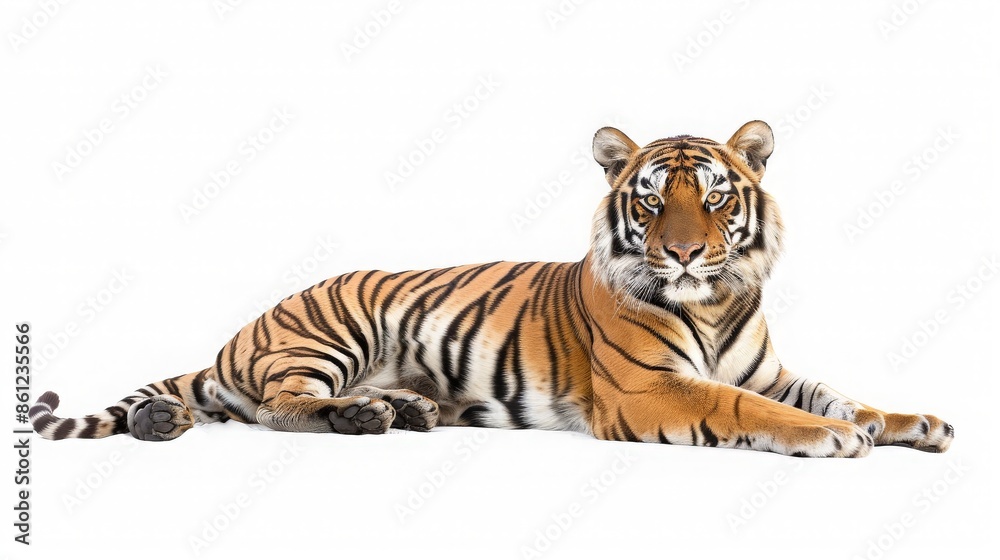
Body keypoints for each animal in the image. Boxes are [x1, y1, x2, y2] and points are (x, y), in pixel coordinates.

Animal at [31, 120, 954, 458]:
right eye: (654, 199)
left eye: (717, 197)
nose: (688, 252)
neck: (717, 300)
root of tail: (241, 330)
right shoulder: (650, 390)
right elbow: (750, 408)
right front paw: (832, 439)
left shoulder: (767, 368)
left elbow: (839, 393)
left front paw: (912, 422)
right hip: (330, 333)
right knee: (272, 406)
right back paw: (363, 418)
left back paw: (403, 410)